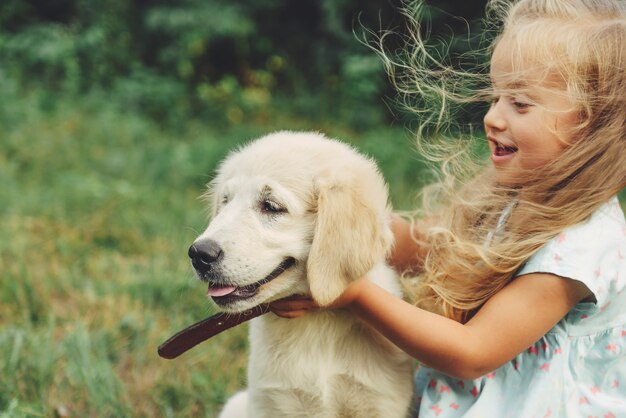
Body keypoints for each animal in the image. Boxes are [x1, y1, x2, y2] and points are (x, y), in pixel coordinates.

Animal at [190, 132, 414, 418]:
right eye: (225, 202)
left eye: (271, 206)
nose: (198, 254)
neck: (317, 324)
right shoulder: (271, 402)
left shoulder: (379, 402)